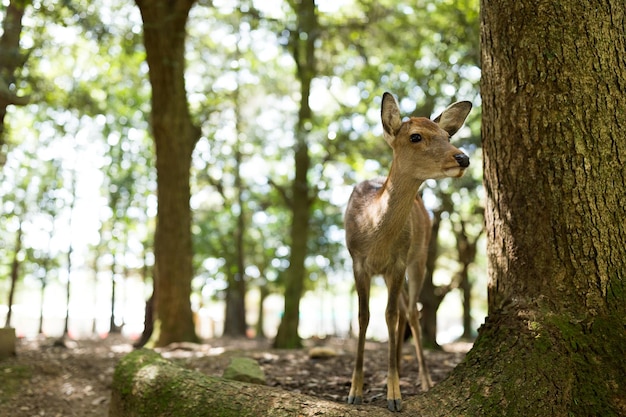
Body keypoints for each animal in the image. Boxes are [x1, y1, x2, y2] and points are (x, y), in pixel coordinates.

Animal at [344, 91, 470, 410]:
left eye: (447, 135)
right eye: (415, 136)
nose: (463, 157)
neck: (373, 230)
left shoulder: (399, 261)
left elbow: (390, 316)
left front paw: (394, 395)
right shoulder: (357, 261)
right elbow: (364, 316)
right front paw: (355, 391)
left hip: (419, 259)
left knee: (410, 312)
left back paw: (422, 380)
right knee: (402, 310)